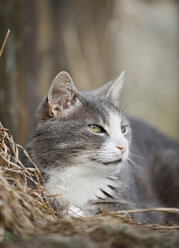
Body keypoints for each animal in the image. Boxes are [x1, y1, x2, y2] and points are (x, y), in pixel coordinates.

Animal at [21, 71, 179, 223]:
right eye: (95, 128)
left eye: (123, 129)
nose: (123, 147)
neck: (78, 175)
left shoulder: (138, 208)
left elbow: (110, 209)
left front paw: (77, 211)